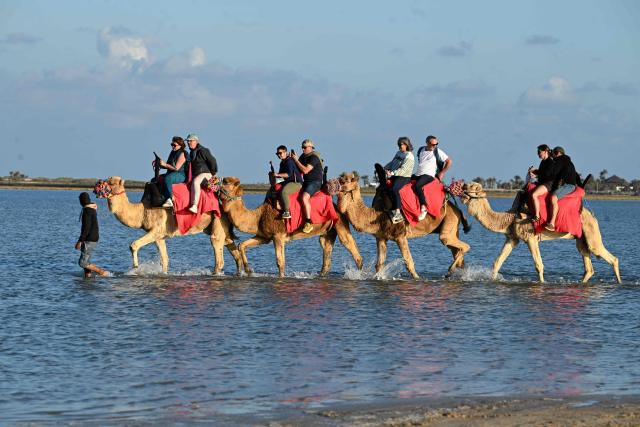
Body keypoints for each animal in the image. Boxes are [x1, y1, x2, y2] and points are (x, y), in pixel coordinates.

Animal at [95, 176, 242, 274]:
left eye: (112, 182)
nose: (97, 187)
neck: (142, 211)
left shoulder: (156, 229)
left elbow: (133, 245)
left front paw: (135, 268)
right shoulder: (160, 236)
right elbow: (164, 260)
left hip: (218, 220)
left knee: (218, 254)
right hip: (222, 227)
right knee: (234, 251)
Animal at [218, 176, 363, 277]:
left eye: (226, 182)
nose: (217, 181)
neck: (259, 215)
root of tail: (337, 208)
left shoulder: (278, 235)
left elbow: (280, 261)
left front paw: (281, 278)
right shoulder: (264, 236)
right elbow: (242, 245)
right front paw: (249, 271)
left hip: (339, 223)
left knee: (351, 246)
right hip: (328, 232)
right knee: (326, 253)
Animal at [336, 172, 470, 279]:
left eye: (345, 180)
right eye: (341, 178)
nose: (336, 183)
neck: (377, 214)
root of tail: (457, 209)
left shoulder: (400, 236)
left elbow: (409, 262)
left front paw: (417, 278)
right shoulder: (381, 237)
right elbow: (379, 264)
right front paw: (378, 277)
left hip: (449, 221)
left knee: (461, 245)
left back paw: (450, 271)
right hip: (451, 224)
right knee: (456, 250)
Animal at [460, 181, 621, 283]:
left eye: (473, 186)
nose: (462, 185)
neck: (510, 217)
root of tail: (592, 215)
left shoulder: (530, 237)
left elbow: (539, 265)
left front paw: (542, 284)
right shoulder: (512, 238)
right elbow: (497, 262)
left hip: (591, 231)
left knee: (610, 257)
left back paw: (619, 283)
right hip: (580, 238)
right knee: (588, 266)